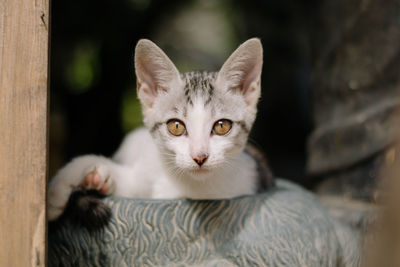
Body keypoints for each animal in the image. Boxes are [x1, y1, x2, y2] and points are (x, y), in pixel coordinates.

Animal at [46, 37, 272, 222]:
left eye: (222, 126)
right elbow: (96, 164)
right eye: (176, 126)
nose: (200, 157)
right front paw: (68, 185)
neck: (191, 188)